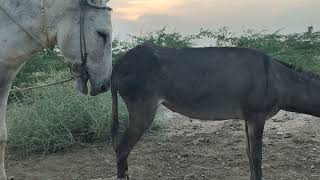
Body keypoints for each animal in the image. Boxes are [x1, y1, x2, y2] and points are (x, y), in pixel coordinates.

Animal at [111, 43, 318, 180]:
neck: (278, 80)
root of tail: (119, 65)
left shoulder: (248, 119)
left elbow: (250, 155)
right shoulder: (257, 117)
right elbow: (257, 157)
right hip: (143, 110)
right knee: (122, 149)